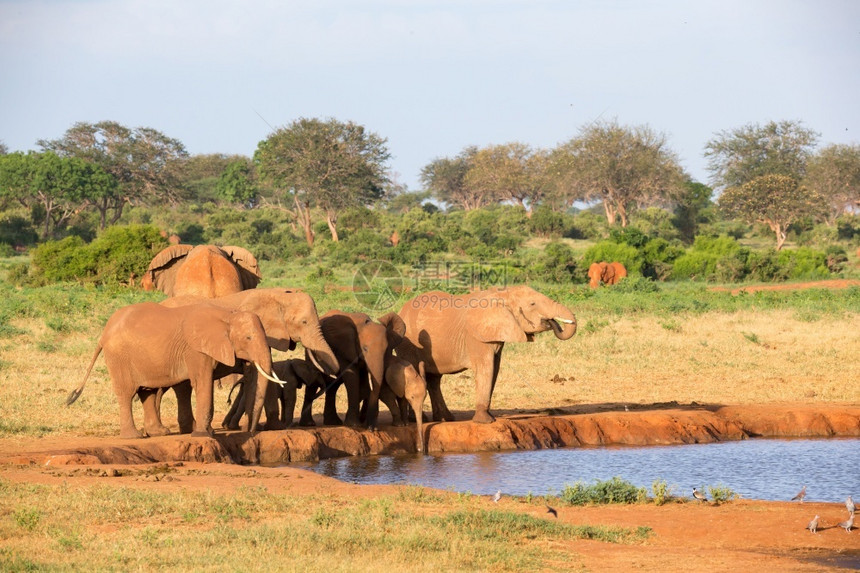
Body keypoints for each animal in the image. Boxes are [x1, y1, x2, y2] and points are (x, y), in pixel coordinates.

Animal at [68, 300, 282, 438]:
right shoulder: (196, 350)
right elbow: (202, 382)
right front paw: (202, 435)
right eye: (248, 338)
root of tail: (104, 333)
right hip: (119, 357)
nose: (251, 432)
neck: (228, 314)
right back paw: (134, 436)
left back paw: (159, 433)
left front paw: (207, 432)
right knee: (127, 393)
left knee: (148, 392)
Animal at [396, 284, 576, 422]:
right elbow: (486, 368)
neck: (503, 293)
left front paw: (489, 417)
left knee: (434, 380)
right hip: (408, 344)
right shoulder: (476, 337)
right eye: (532, 304)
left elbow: (494, 369)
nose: (551, 322)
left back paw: (445, 418)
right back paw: (418, 420)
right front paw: (486, 421)